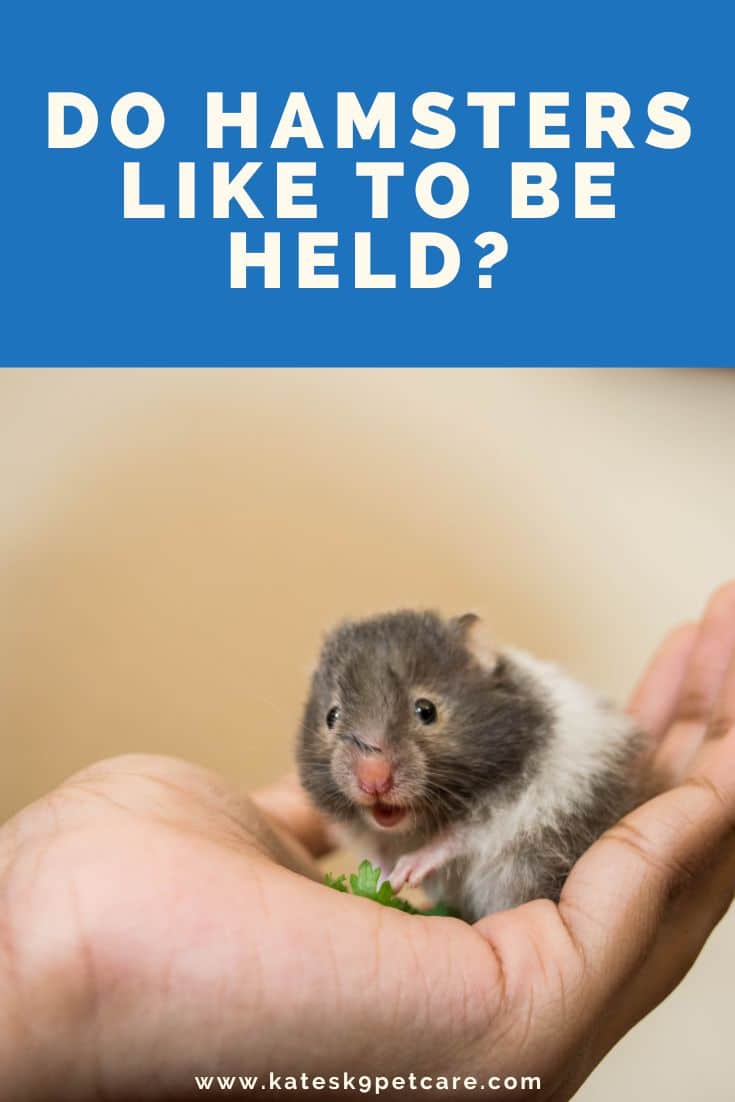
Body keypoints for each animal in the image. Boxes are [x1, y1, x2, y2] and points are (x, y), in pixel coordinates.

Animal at [295, 612, 647, 921]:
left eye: (426, 710)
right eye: (331, 716)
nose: (373, 781)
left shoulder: (507, 807)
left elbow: (456, 837)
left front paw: (406, 871)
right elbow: (378, 851)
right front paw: (384, 879)